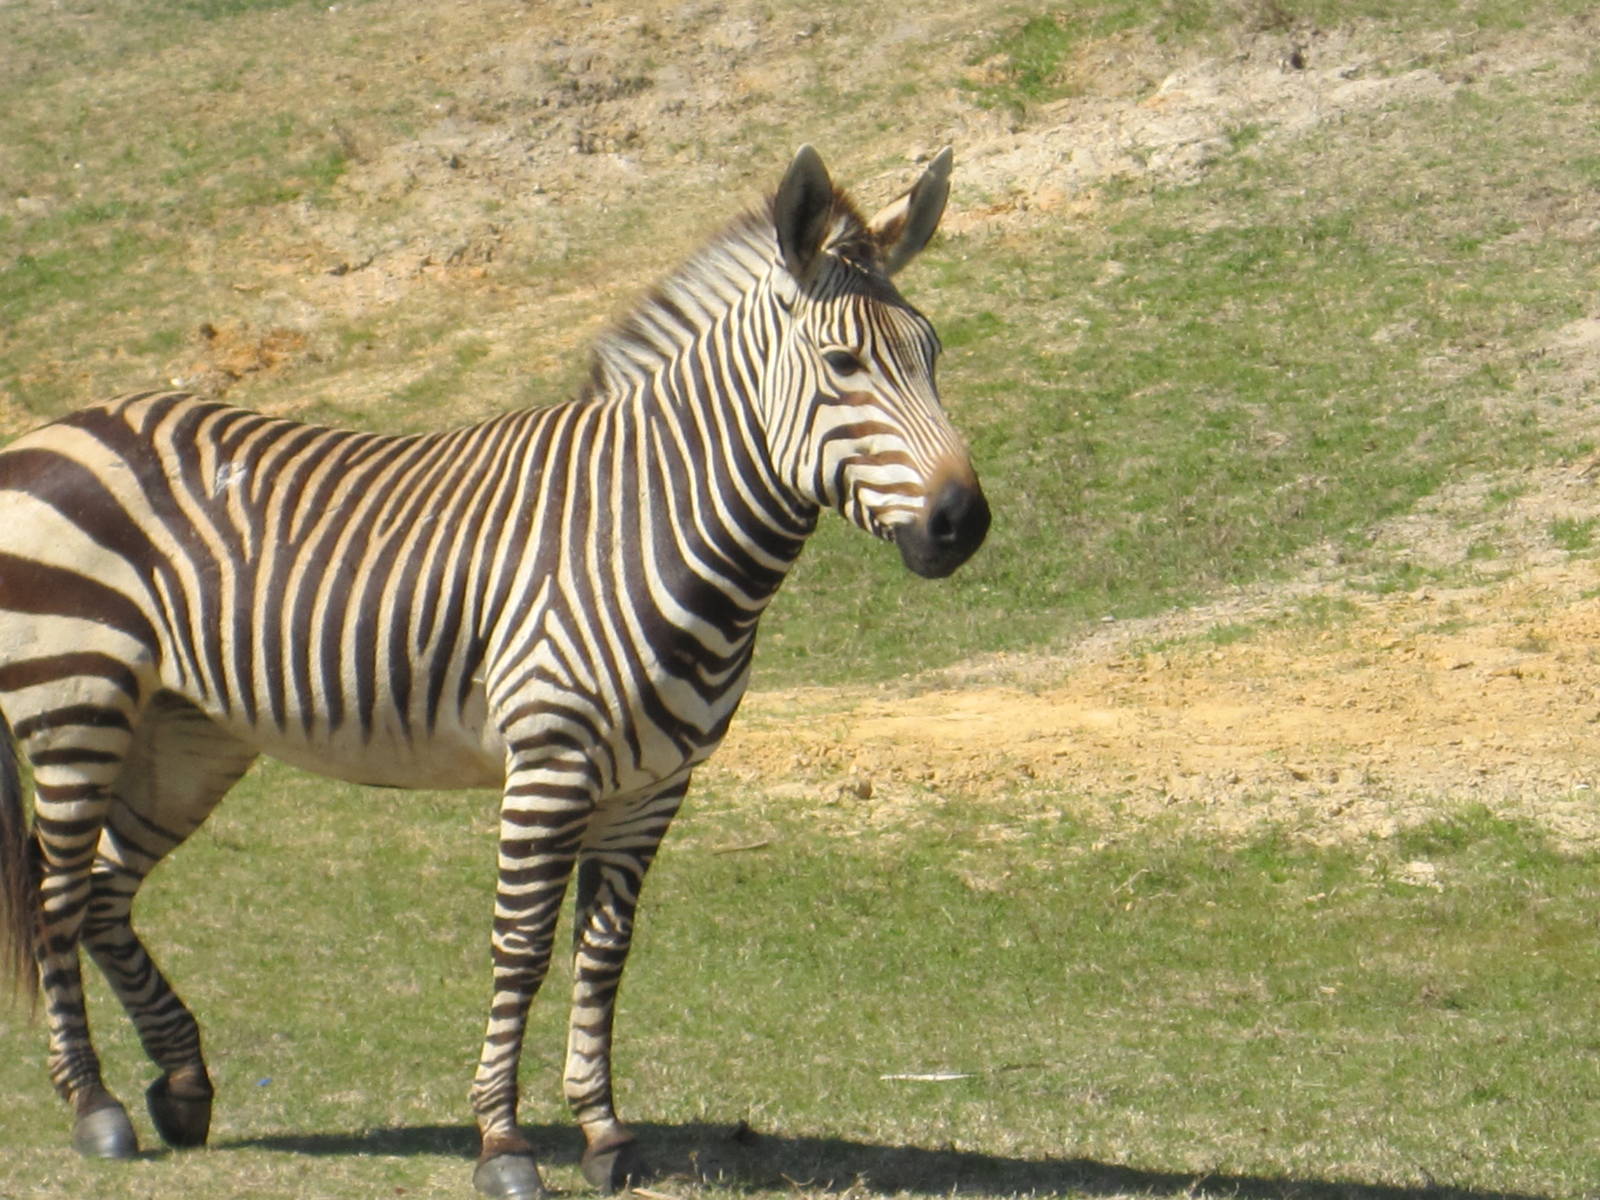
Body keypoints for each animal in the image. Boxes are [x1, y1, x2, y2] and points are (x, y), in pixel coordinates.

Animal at [0, 145, 988, 1198]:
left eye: (932, 355)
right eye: (844, 365)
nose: (963, 524)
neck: (644, 517)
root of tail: (53, 431)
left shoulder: (654, 786)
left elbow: (604, 955)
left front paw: (603, 1132)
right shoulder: (550, 762)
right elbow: (520, 949)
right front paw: (503, 1143)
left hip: (186, 734)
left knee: (105, 891)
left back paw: (182, 1085)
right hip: (74, 703)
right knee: (56, 897)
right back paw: (95, 1108)